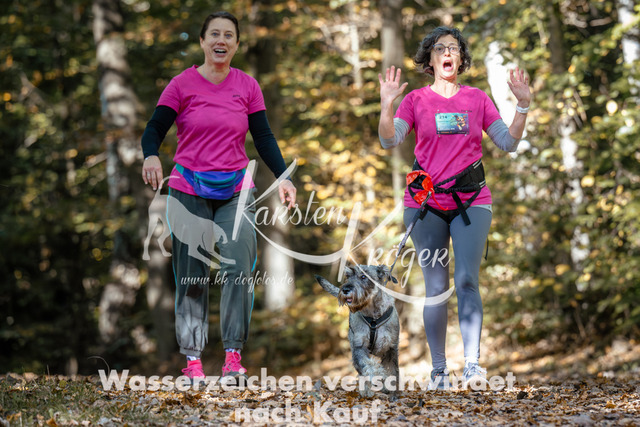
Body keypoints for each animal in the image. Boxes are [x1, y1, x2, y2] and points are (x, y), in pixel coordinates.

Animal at [315, 265, 400, 400]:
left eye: (364, 276)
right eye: (348, 276)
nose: (345, 289)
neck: (373, 316)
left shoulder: (390, 348)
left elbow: (393, 370)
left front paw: (393, 392)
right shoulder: (359, 347)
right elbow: (366, 365)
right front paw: (377, 375)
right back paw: (366, 391)